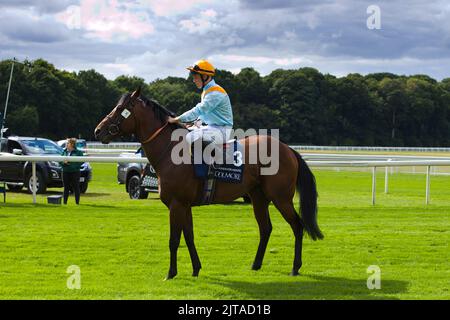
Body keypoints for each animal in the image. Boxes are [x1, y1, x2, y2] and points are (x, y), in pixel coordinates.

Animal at [94, 87, 324, 280]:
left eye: (120, 109)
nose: (98, 131)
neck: (170, 151)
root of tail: (288, 149)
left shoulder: (176, 204)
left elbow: (174, 240)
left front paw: (171, 273)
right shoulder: (184, 205)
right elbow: (189, 236)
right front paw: (196, 269)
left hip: (281, 198)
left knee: (297, 225)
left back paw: (295, 267)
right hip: (259, 197)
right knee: (265, 228)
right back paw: (256, 264)